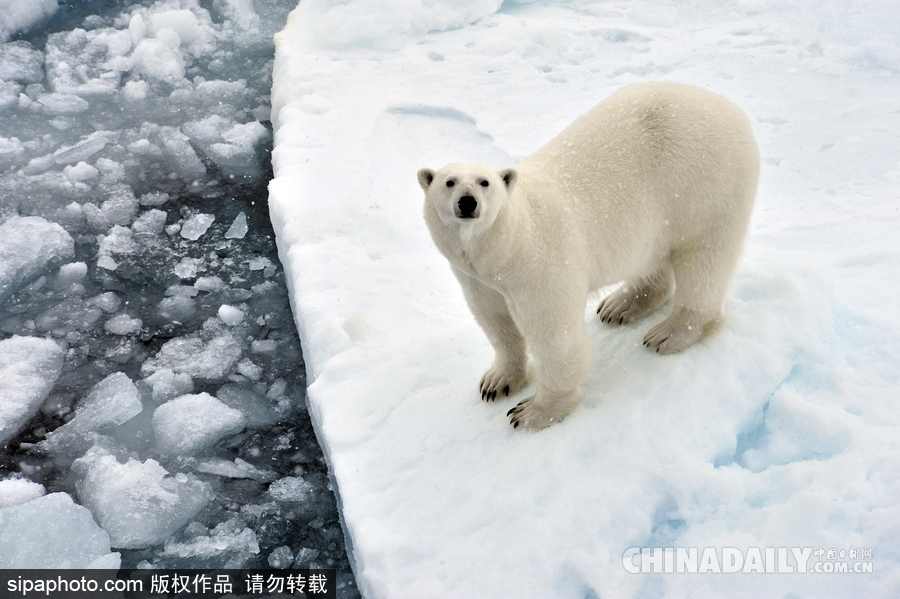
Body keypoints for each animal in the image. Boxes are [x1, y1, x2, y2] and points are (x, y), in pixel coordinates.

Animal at [418, 83, 756, 432]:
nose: (467, 202)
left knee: (704, 258)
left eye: (484, 183)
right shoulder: (476, 278)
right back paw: (620, 305)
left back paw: (669, 332)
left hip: (703, 186)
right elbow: (495, 321)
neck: (511, 244)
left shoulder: (542, 268)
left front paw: (532, 412)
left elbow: (554, 337)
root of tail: (728, 107)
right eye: (449, 182)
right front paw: (496, 382)